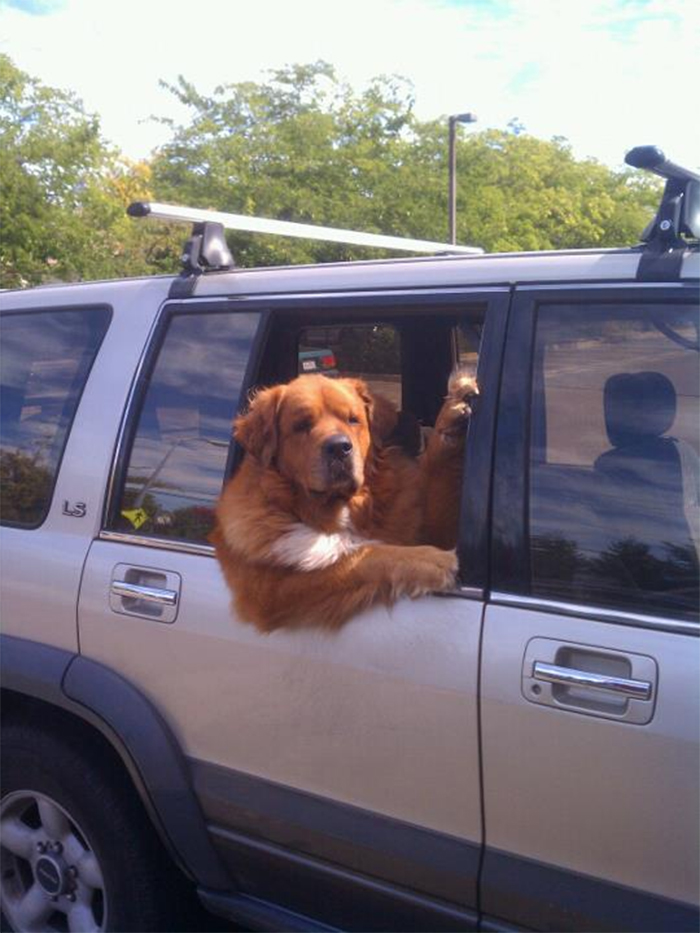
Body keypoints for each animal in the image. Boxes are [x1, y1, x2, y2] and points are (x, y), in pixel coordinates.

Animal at [211, 368, 478, 628]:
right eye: (302, 425)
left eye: (353, 419)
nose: (339, 447)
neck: (342, 507)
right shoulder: (273, 587)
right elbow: (363, 555)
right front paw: (432, 559)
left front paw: (452, 415)